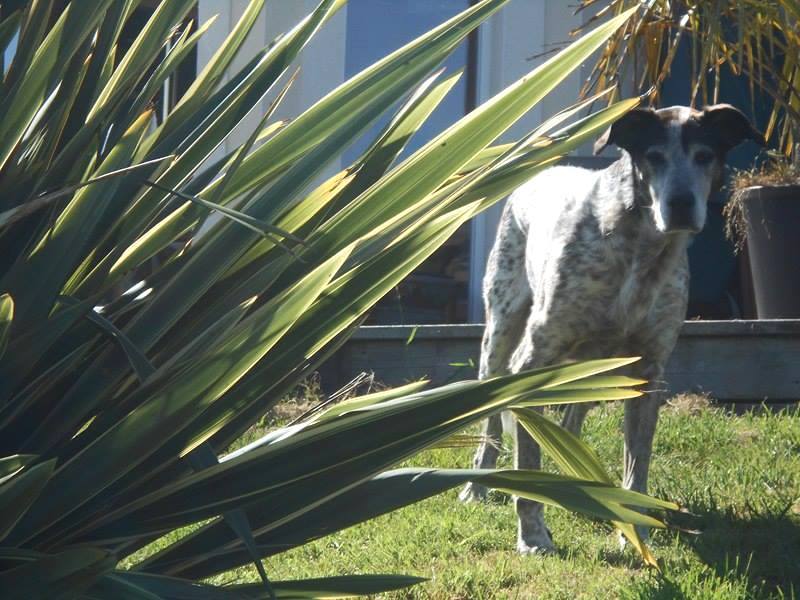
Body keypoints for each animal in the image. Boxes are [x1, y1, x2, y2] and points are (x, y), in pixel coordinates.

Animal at [460, 105, 760, 556]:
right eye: (653, 156)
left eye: (705, 155)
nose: (680, 204)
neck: (639, 250)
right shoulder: (532, 360)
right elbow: (527, 459)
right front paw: (533, 536)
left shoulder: (648, 373)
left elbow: (637, 465)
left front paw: (633, 531)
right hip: (500, 337)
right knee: (494, 419)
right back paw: (478, 485)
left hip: (597, 368)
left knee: (570, 420)